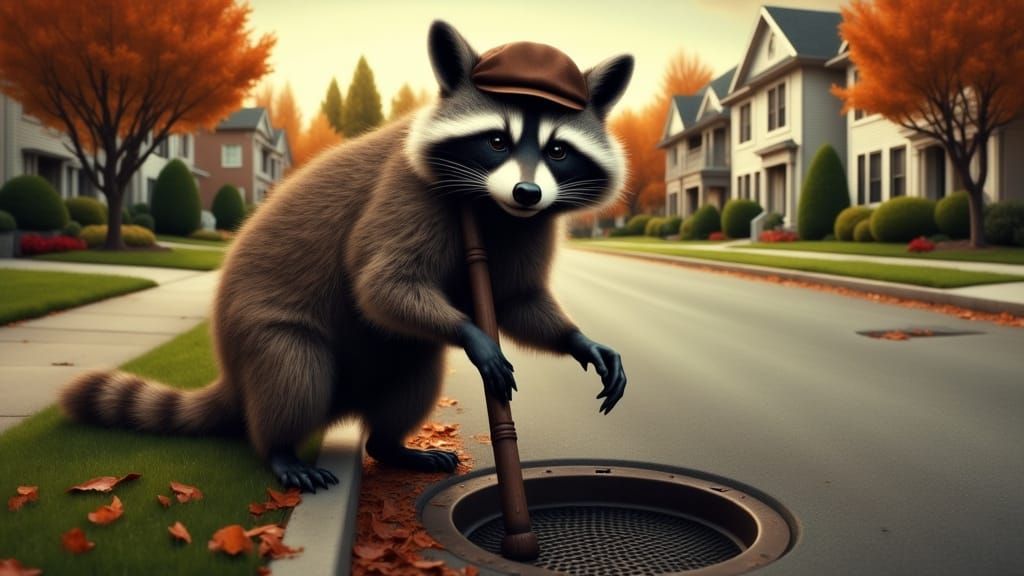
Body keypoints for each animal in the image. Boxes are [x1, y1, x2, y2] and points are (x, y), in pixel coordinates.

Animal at [60, 21, 630, 492]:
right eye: (495, 140)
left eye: (558, 151)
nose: (527, 192)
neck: (496, 209)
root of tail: (235, 380)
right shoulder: (404, 189)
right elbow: (380, 282)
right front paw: (473, 333)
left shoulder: (531, 225)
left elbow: (515, 299)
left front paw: (578, 339)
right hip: (260, 327)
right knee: (294, 368)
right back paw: (281, 449)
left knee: (416, 369)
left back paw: (390, 444)